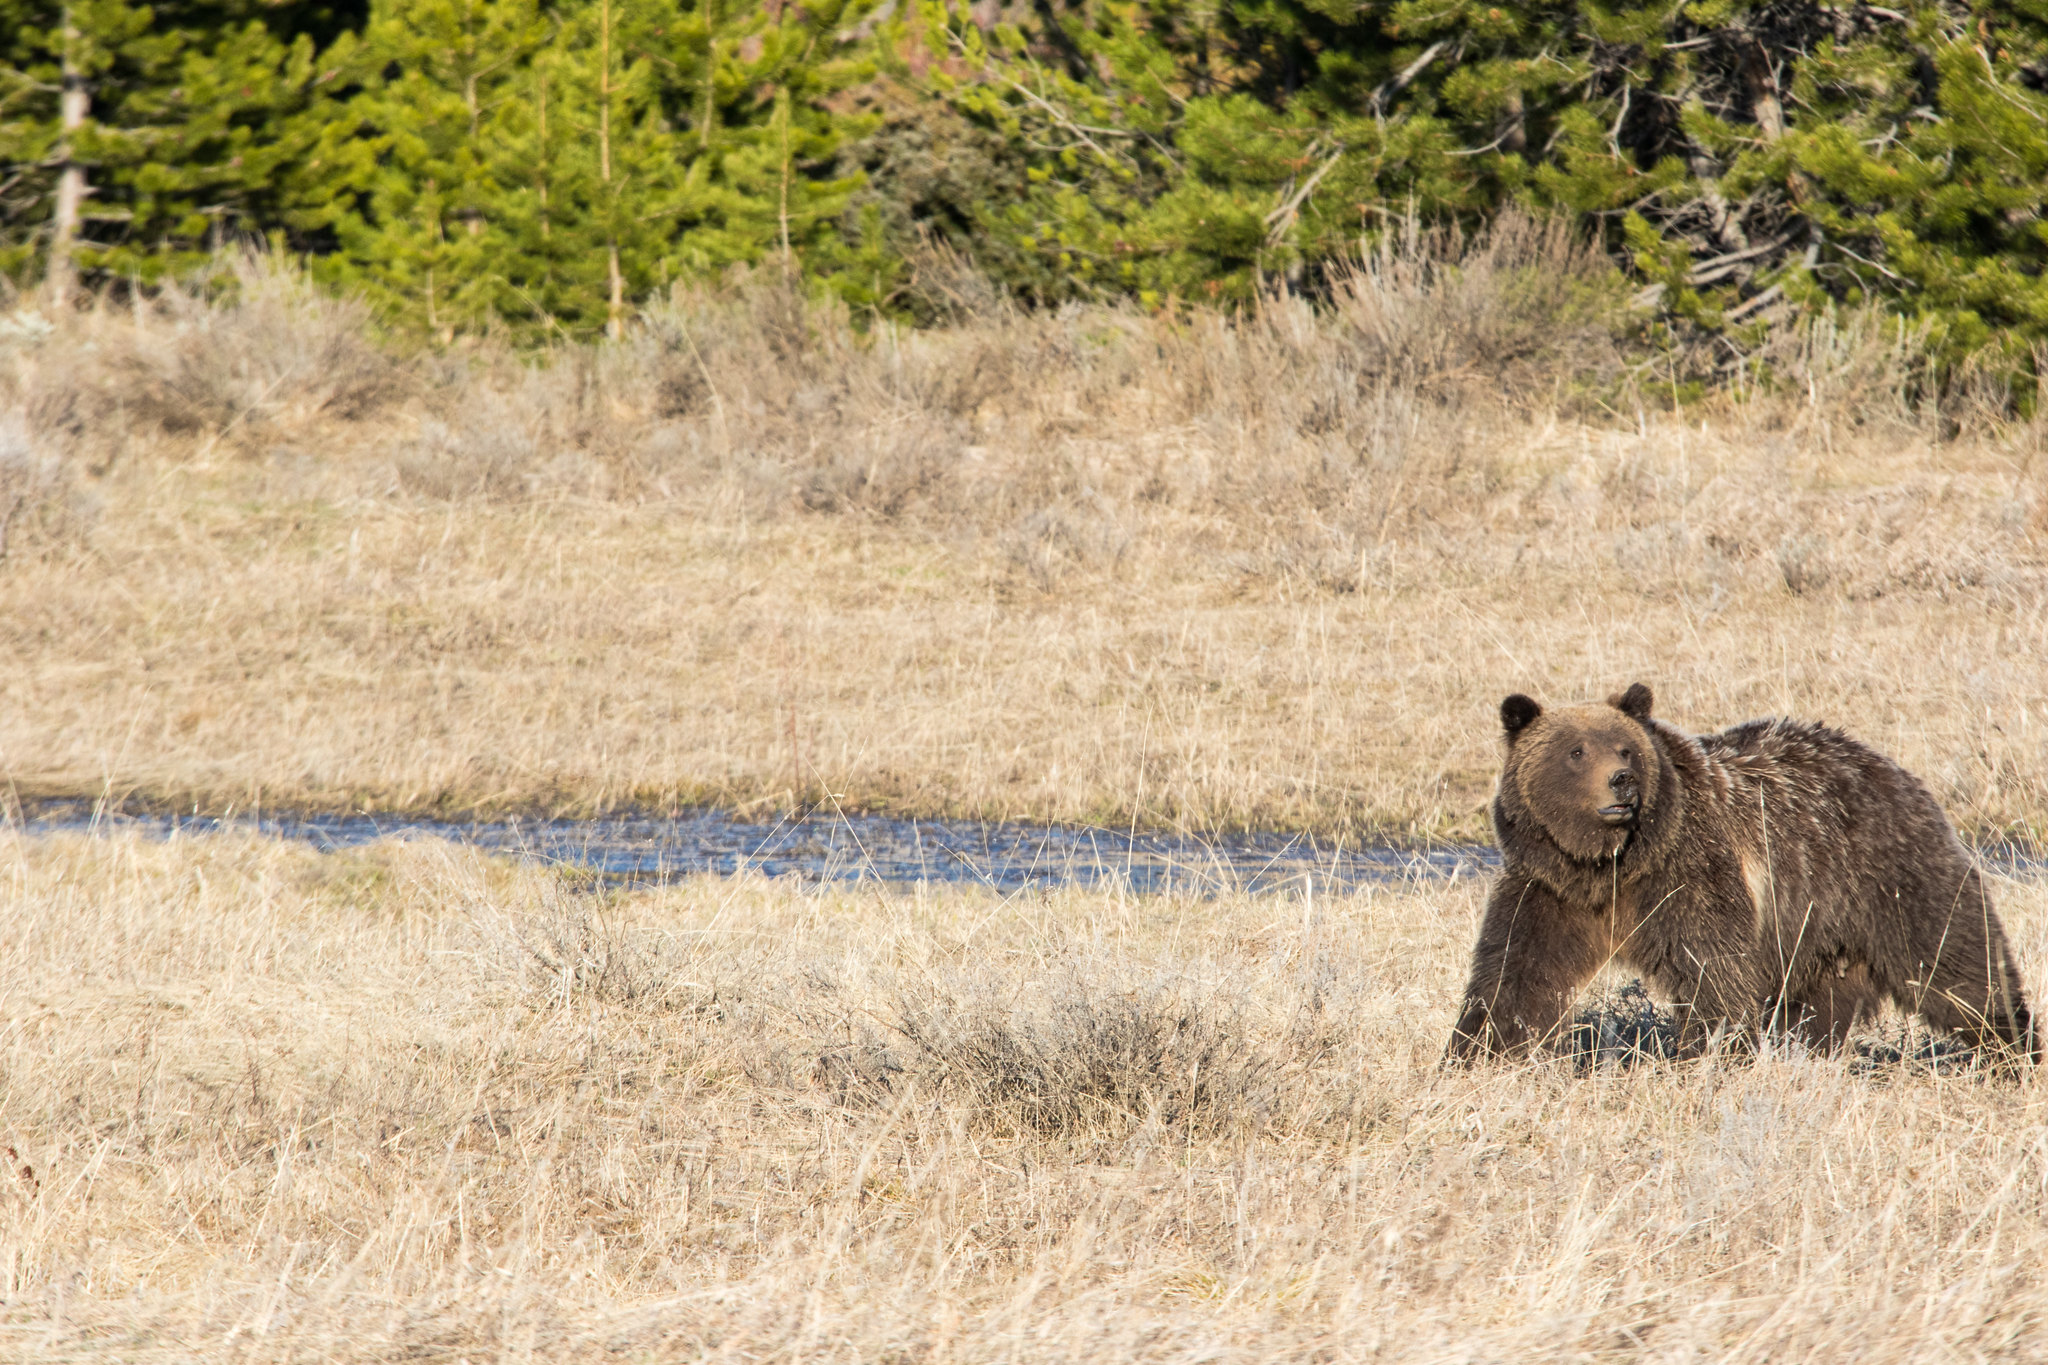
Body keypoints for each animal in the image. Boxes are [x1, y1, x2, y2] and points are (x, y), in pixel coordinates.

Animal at [1449, 683, 2039, 1064]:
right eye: (1575, 750)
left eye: (1625, 748)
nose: (1621, 782)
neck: (1609, 866)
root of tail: (1892, 768)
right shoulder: (1550, 887)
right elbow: (1517, 973)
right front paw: (1476, 1051)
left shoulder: (1688, 872)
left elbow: (1713, 968)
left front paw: (1708, 1053)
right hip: (1818, 923)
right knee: (1822, 1004)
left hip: (1888, 876)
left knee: (1954, 963)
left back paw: (2012, 1045)